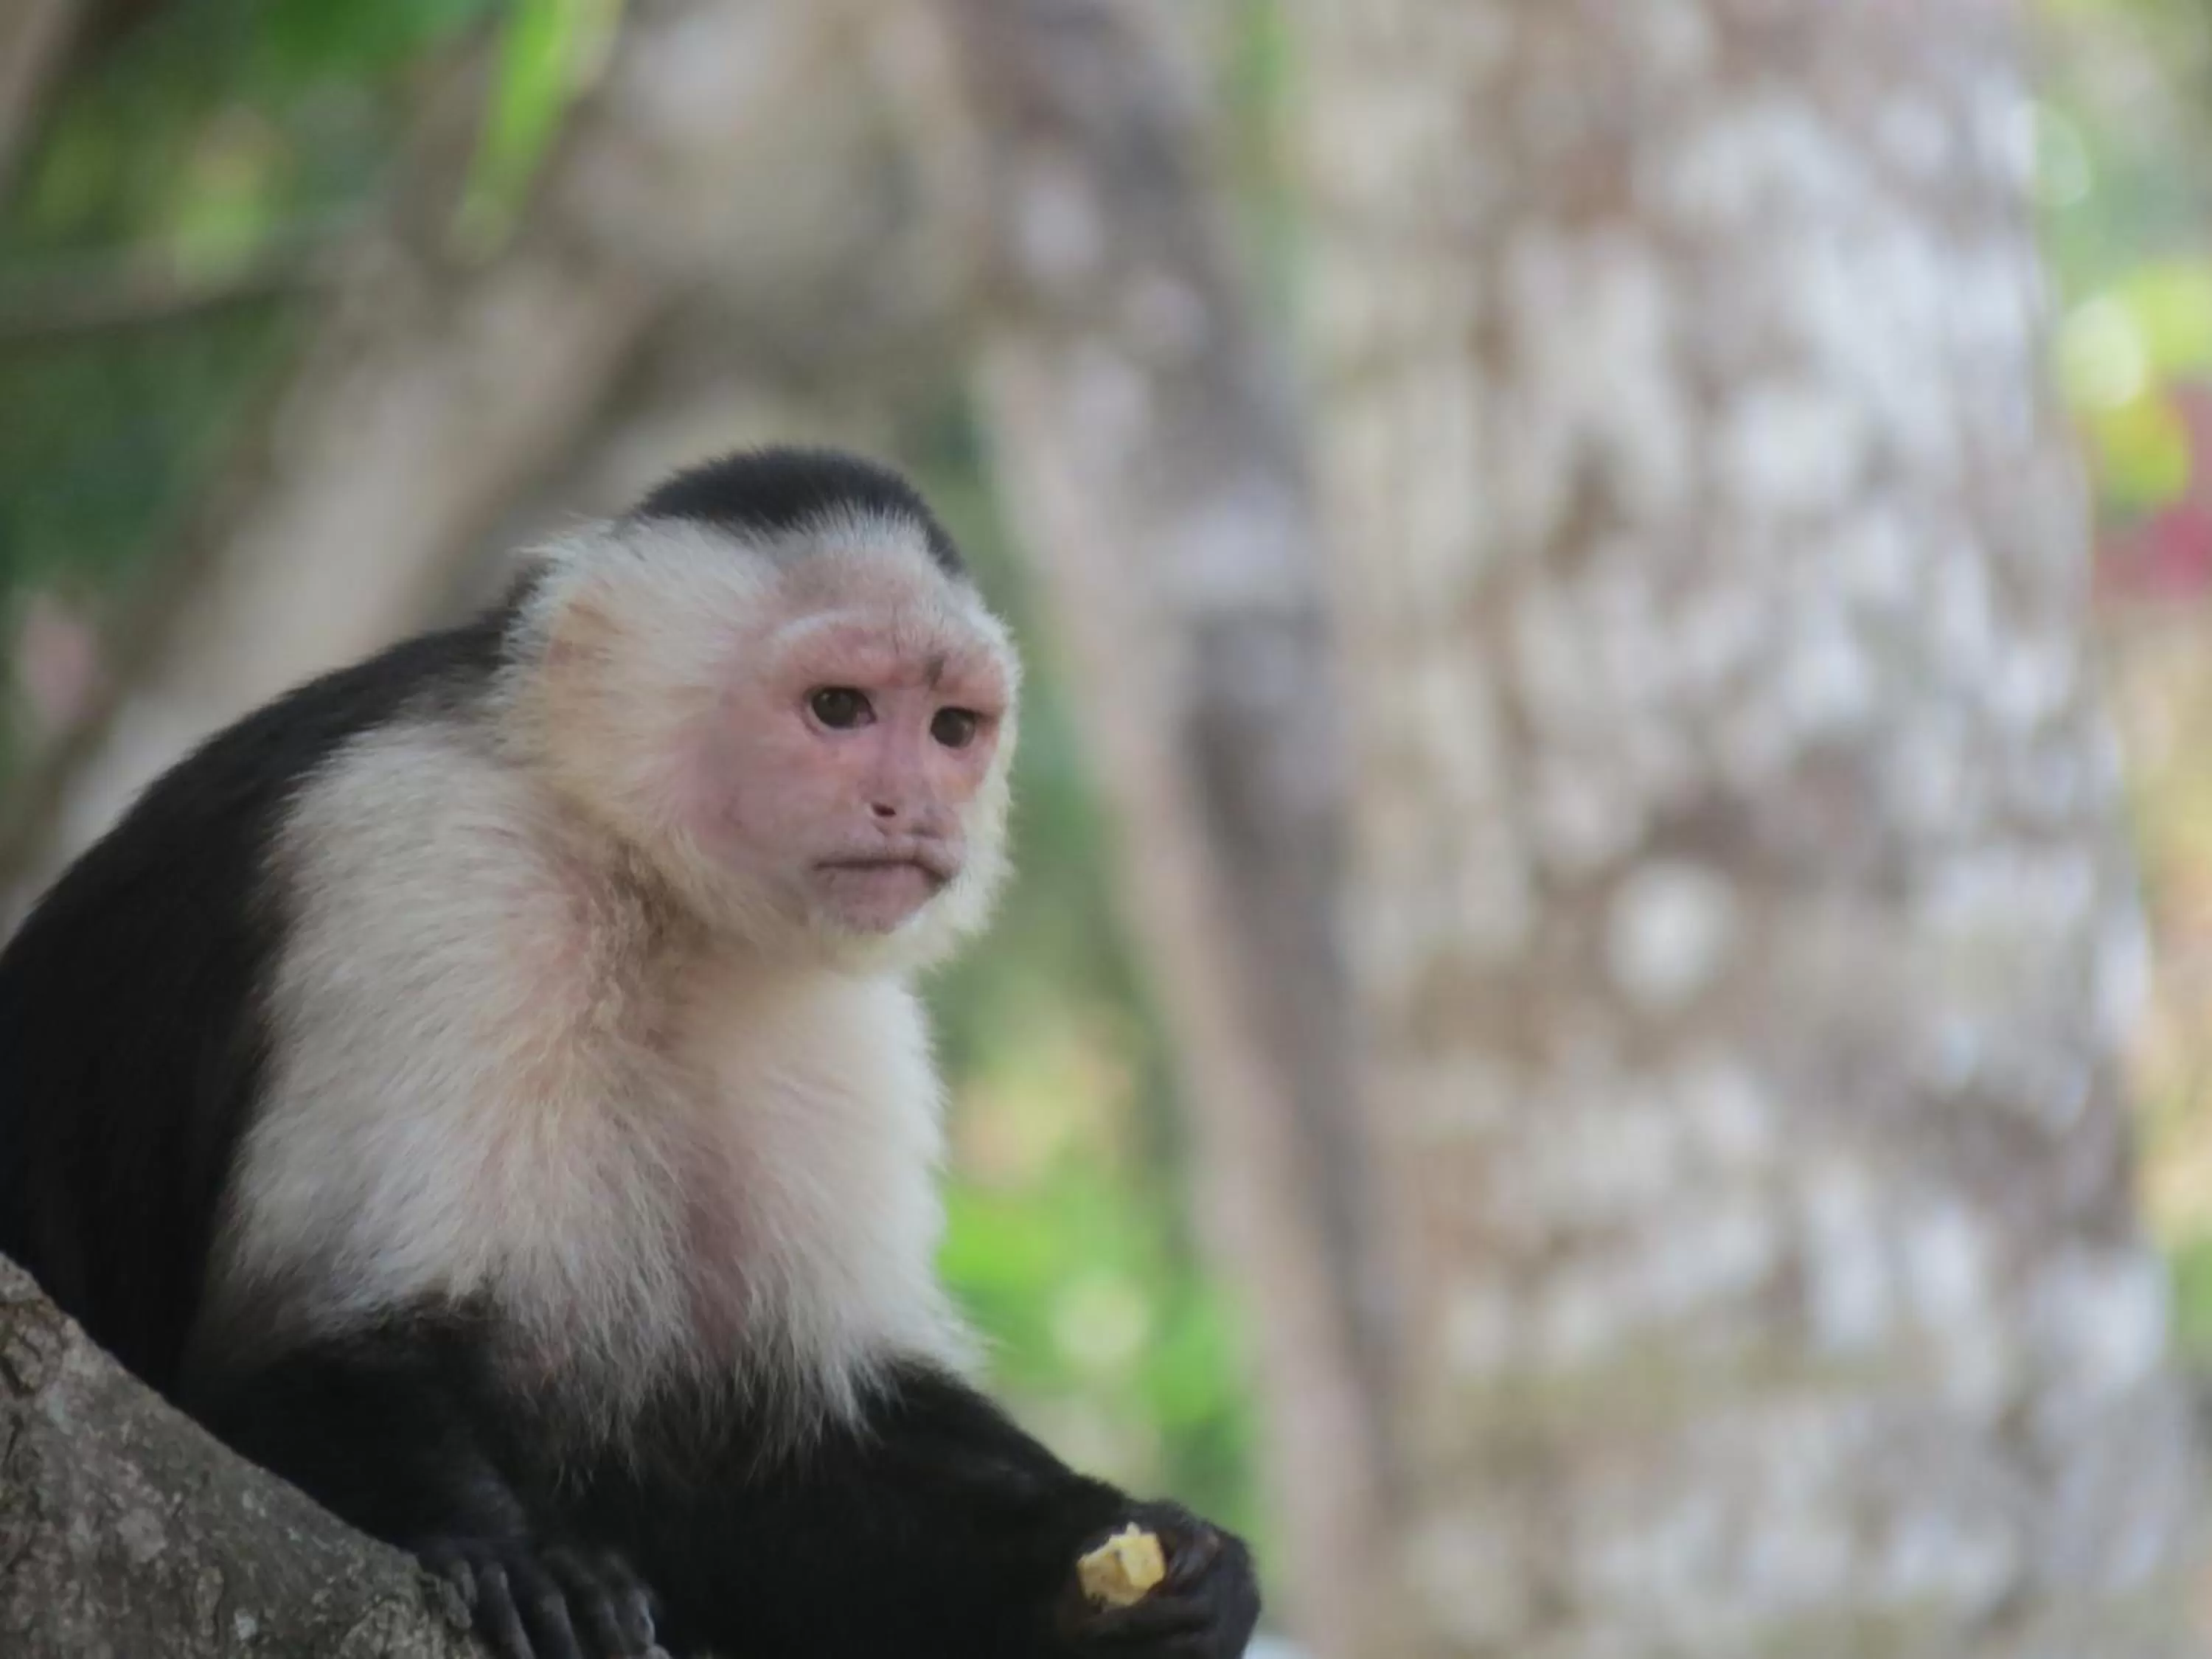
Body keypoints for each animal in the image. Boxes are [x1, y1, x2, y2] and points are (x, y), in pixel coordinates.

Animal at [0, 448, 1261, 1659]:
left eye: (954, 727)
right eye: (839, 707)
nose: (913, 806)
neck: (636, 869)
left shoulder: (829, 1015)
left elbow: (791, 1449)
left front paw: (1125, 1562)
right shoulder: (421, 860)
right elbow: (300, 1349)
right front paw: (511, 1550)